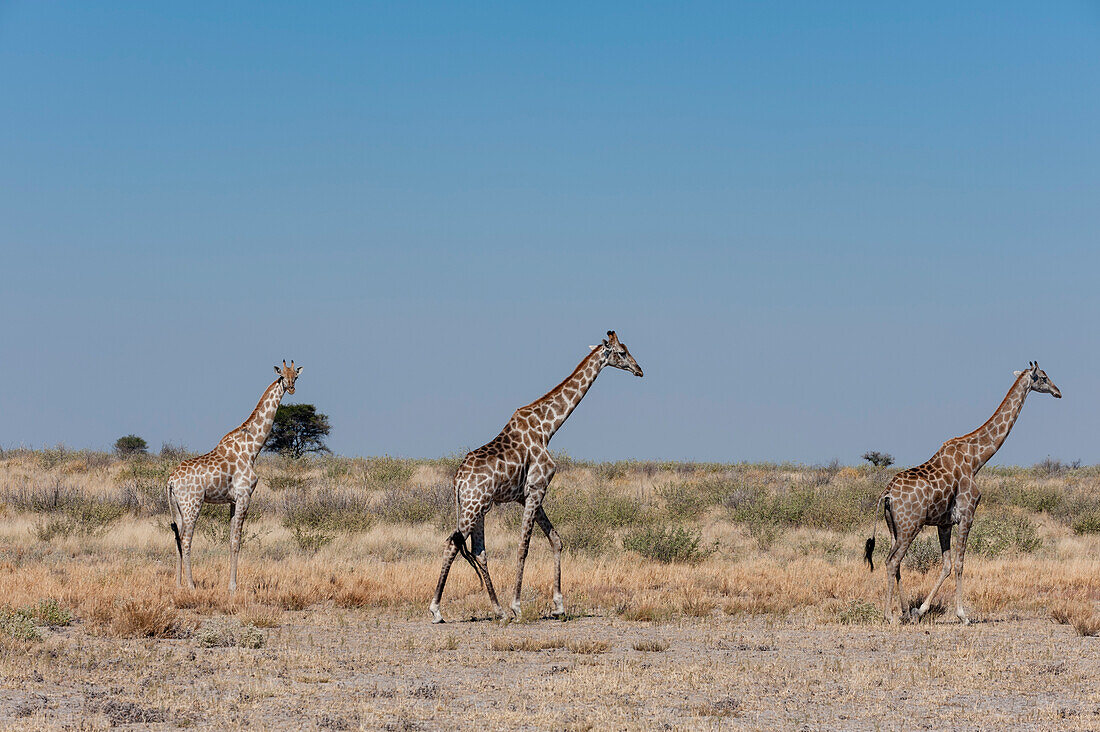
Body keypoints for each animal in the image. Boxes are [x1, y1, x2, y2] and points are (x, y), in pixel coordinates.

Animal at [163, 363, 301, 590]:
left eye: (296, 376)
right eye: (282, 376)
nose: (290, 388)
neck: (252, 448)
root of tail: (171, 481)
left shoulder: (233, 500)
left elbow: (230, 541)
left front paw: (231, 584)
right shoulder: (245, 496)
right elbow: (237, 541)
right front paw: (233, 587)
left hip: (176, 506)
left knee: (176, 539)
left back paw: (178, 584)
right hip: (192, 504)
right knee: (186, 540)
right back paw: (191, 585)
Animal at [424, 330, 642, 620]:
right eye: (621, 352)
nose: (639, 370)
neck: (547, 428)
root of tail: (457, 480)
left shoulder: (529, 494)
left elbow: (556, 540)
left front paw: (559, 605)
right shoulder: (537, 489)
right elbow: (523, 547)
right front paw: (517, 605)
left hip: (479, 508)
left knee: (479, 551)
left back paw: (498, 610)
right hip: (472, 506)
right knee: (452, 544)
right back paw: (437, 610)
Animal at [862, 358, 1060, 620]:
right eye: (1044, 377)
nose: (1058, 392)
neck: (976, 459)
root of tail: (886, 494)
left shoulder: (944, 523)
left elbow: (946, 565)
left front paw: (920, 610)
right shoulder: (967, 514)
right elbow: (959, 564)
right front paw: (962, 614)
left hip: (893, 526)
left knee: (895, 562)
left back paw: (904, 611)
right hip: (910, 526)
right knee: (892, 561)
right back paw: (889, 615)